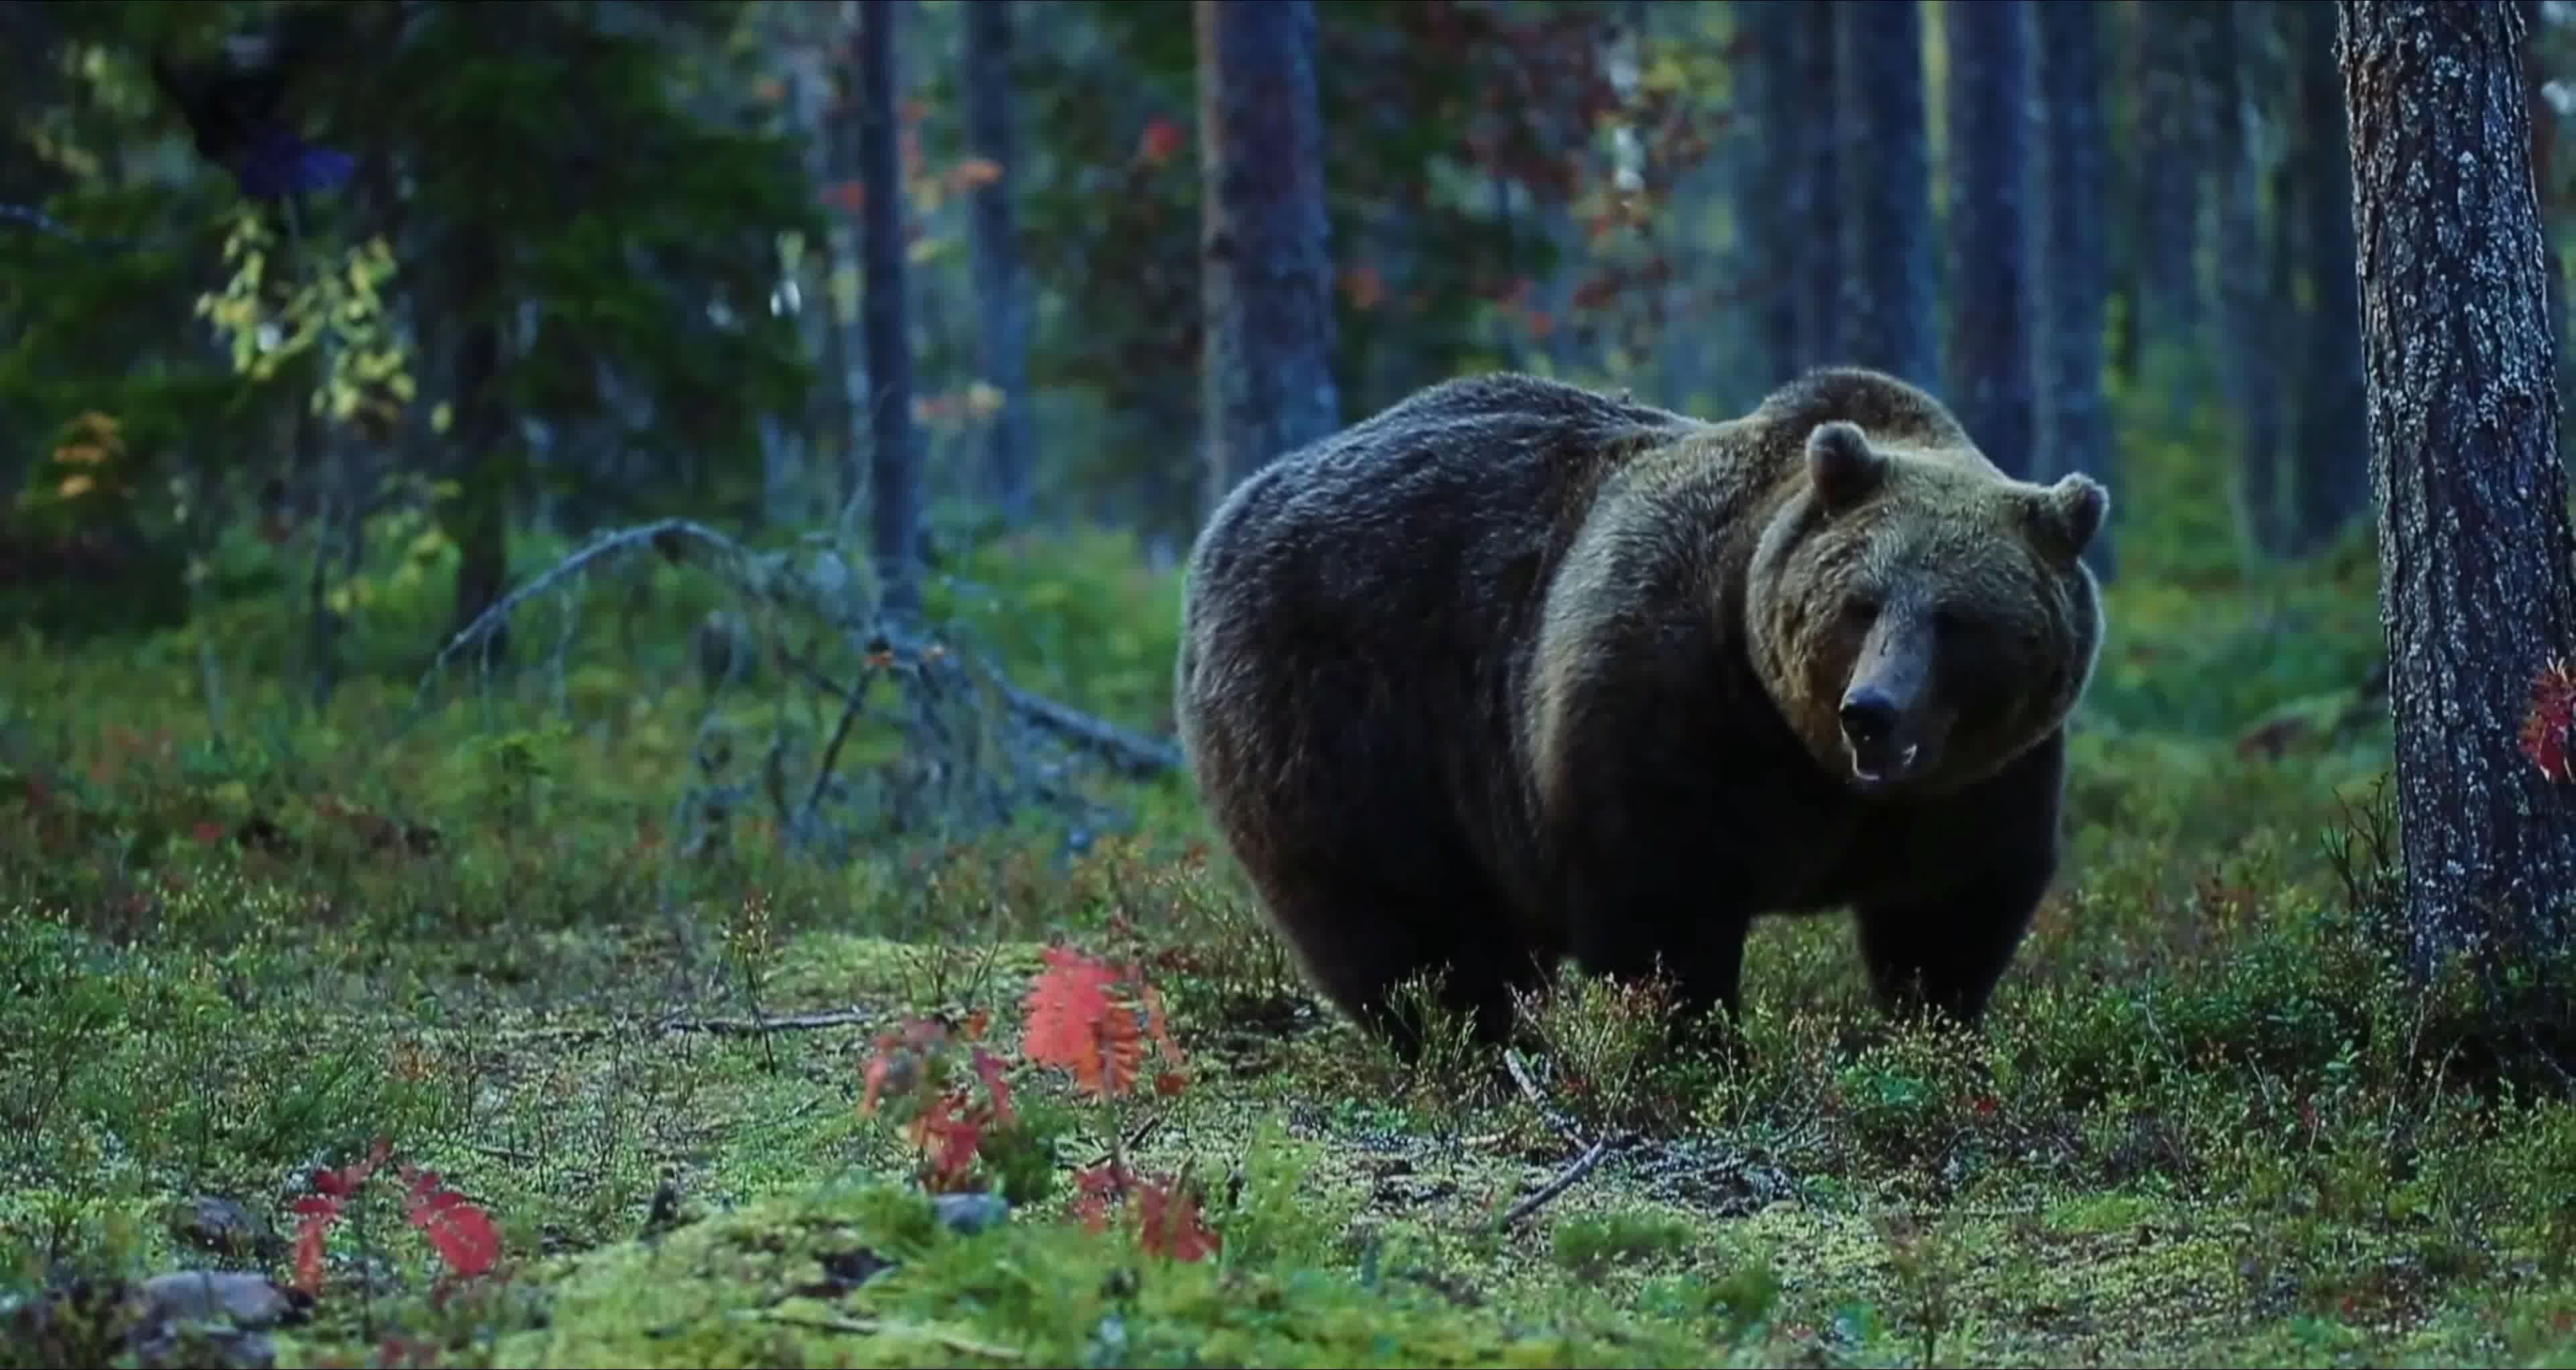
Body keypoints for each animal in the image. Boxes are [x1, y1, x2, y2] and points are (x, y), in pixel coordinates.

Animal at [1179, 366, 2102, 1061]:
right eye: (1859, 604)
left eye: (1958, 618)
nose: (1871, 711)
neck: (1814, 761)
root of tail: (1242, 499)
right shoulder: (1673, 698)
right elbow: (1664, 903)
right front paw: (1697, 1040)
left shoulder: (1983, 777)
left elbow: (1950, 909)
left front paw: (1939, 1027)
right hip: (1348, 716)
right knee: (1405, 914)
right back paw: (1474, 1038)